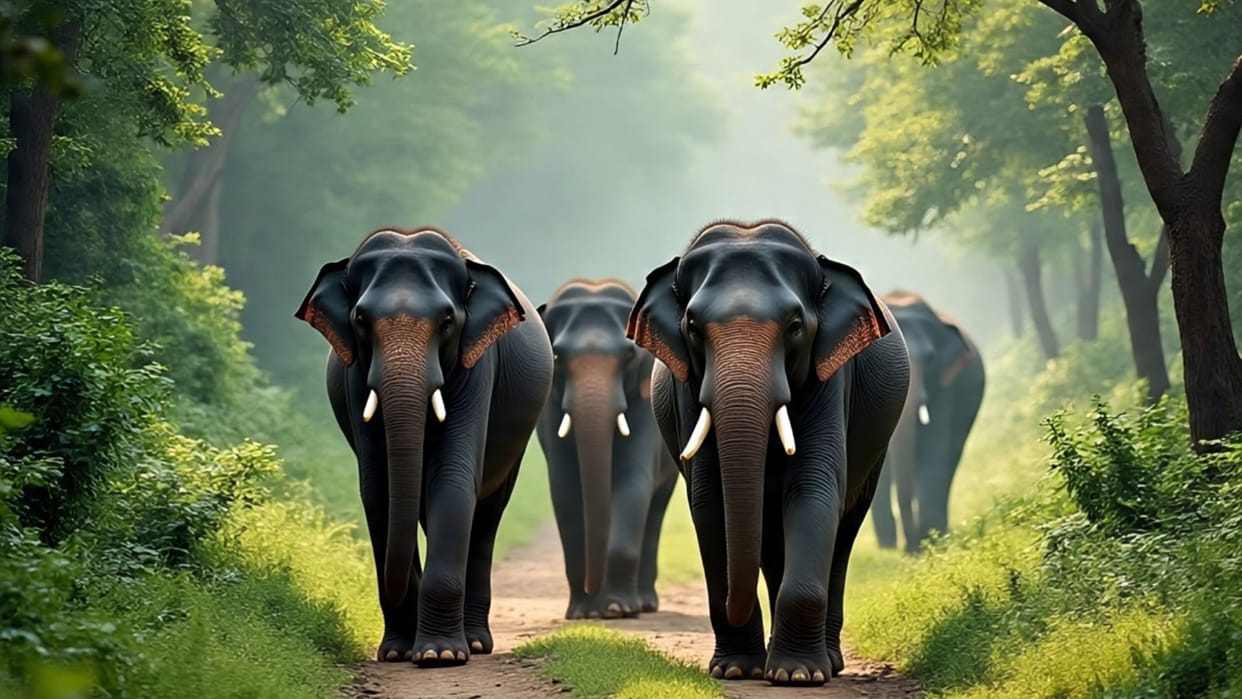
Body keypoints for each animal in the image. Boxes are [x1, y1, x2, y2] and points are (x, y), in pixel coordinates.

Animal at [294, 227, 552, 666]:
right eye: (360, 319)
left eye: (447, 321)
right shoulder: (354, 375)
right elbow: (378, 488)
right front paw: (399, 652)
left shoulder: (478, 366)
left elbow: (451, 479)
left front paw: (440, 655)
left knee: (487, 518)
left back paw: (476, 643)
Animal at [535, 279, 679, 620]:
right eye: (557, 355)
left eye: (628, 355)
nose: (593, 590)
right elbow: (564, 487)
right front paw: (583, 614)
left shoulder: (646, 407)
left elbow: (633, 480)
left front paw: (616, 609)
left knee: (655, 510)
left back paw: (644, 604)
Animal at [627, 220, 910, 686]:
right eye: (692, 327)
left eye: (795, 326)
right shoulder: (688, 391)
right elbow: (710, 502)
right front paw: (736, 670)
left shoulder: (830, 378)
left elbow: (814, 488)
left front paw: (798, 675)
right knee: (771, 540)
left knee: (844, 530)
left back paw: (828, 662)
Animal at [869, 291, 985, 554]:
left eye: (931, 357)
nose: (909, 549)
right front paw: (893, 549)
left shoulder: (943, 387)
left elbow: (933, 450)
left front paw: (928, 543)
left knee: (949, 460)